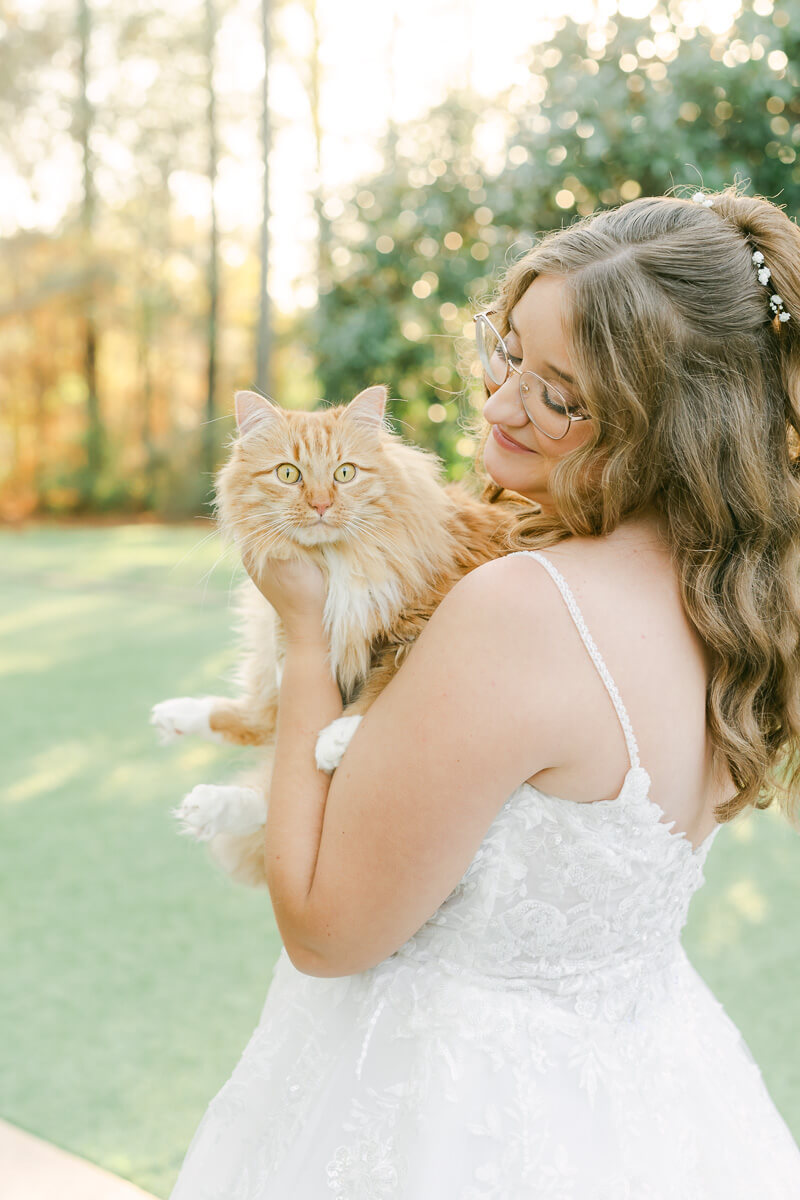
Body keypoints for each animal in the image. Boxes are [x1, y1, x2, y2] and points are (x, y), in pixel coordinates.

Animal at [153, 386, 522, 892]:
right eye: (289, 474)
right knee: (259, 724)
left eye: (344, 473)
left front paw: (337, 736)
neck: (335, 564)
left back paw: (209, 798)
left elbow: (386, 679)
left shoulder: (424, 618)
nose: (321, 505)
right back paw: (181, 736)